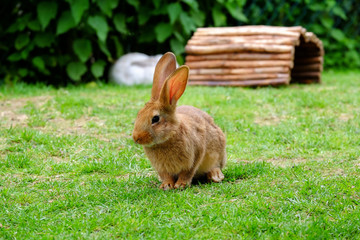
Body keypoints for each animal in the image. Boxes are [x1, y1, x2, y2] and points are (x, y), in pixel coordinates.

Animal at [134, 52, 226, 189]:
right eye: (139, 114)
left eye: (155, 119)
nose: (136, 138)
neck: (170, 135)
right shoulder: (161, 168)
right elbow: (166, 175)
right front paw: (166, 185)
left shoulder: (195, 155)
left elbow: (187, 172)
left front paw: (181, 185)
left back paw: (215, 176)